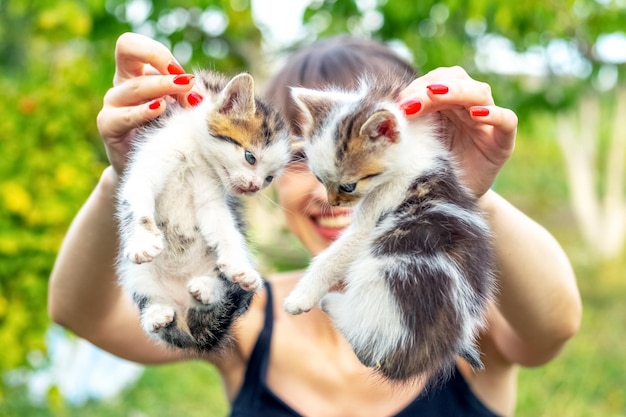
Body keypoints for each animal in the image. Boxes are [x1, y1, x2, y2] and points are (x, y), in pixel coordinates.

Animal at [116, 69, 288, 352]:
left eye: (269, 178)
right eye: (250, 157)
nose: (253, 187)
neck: (194, 153)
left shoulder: (210, 199)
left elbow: (225, 230)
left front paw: (237, 264)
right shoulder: (148, 162)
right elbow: (137, 207)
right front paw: (142, 242)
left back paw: (207, 289)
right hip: (136, 274)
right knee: (155, 311)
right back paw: (156, 314)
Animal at [282, 72, 492, 380]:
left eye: (348, 186)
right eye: (319, 179)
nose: (332, 202)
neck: (410, 153)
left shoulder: (372, 218)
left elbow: (332, 257)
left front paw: (300, 298)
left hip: (379, 276)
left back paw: (331, 303)